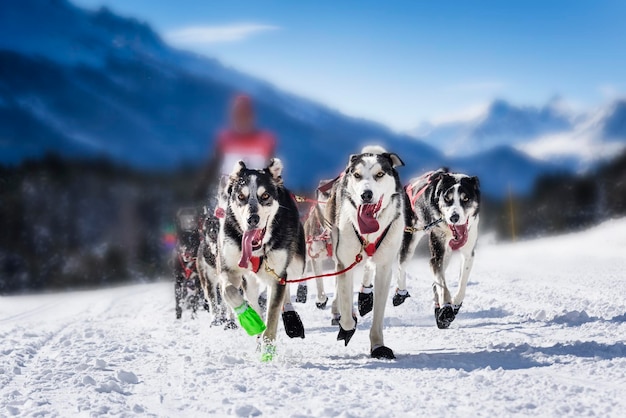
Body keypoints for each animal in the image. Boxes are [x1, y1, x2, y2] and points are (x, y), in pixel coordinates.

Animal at [219, 158, 304, 360]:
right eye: (241, 196)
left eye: (265, 196)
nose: (252, 219)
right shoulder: (229, 270)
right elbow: (229, 291)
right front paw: (248, 318)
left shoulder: (278, 275)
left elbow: (272, 316)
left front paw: (268, 350)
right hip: (250, 282)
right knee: (253, 299)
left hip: (296, 267)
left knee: (286, 290)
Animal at [324, 145, 408, 358]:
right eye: (357, 175)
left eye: (379, 174)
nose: (366, 194)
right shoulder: (345, 262)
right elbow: (346, 310)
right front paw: (347, 326)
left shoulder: (385, 268)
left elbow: (378, 314)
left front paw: (378, 346)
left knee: (368, 268)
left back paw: (365, 295)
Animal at [398, 168, 480, 328]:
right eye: (447, 199)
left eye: (465, 199)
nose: (454, 217)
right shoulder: (437, 254)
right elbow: (442, 283)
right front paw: (447, 308)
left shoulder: (468, 254)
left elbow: (462, 283)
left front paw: (454, 304)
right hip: (410, 237)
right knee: (401, 265)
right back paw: (400, 292)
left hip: (446, 255)